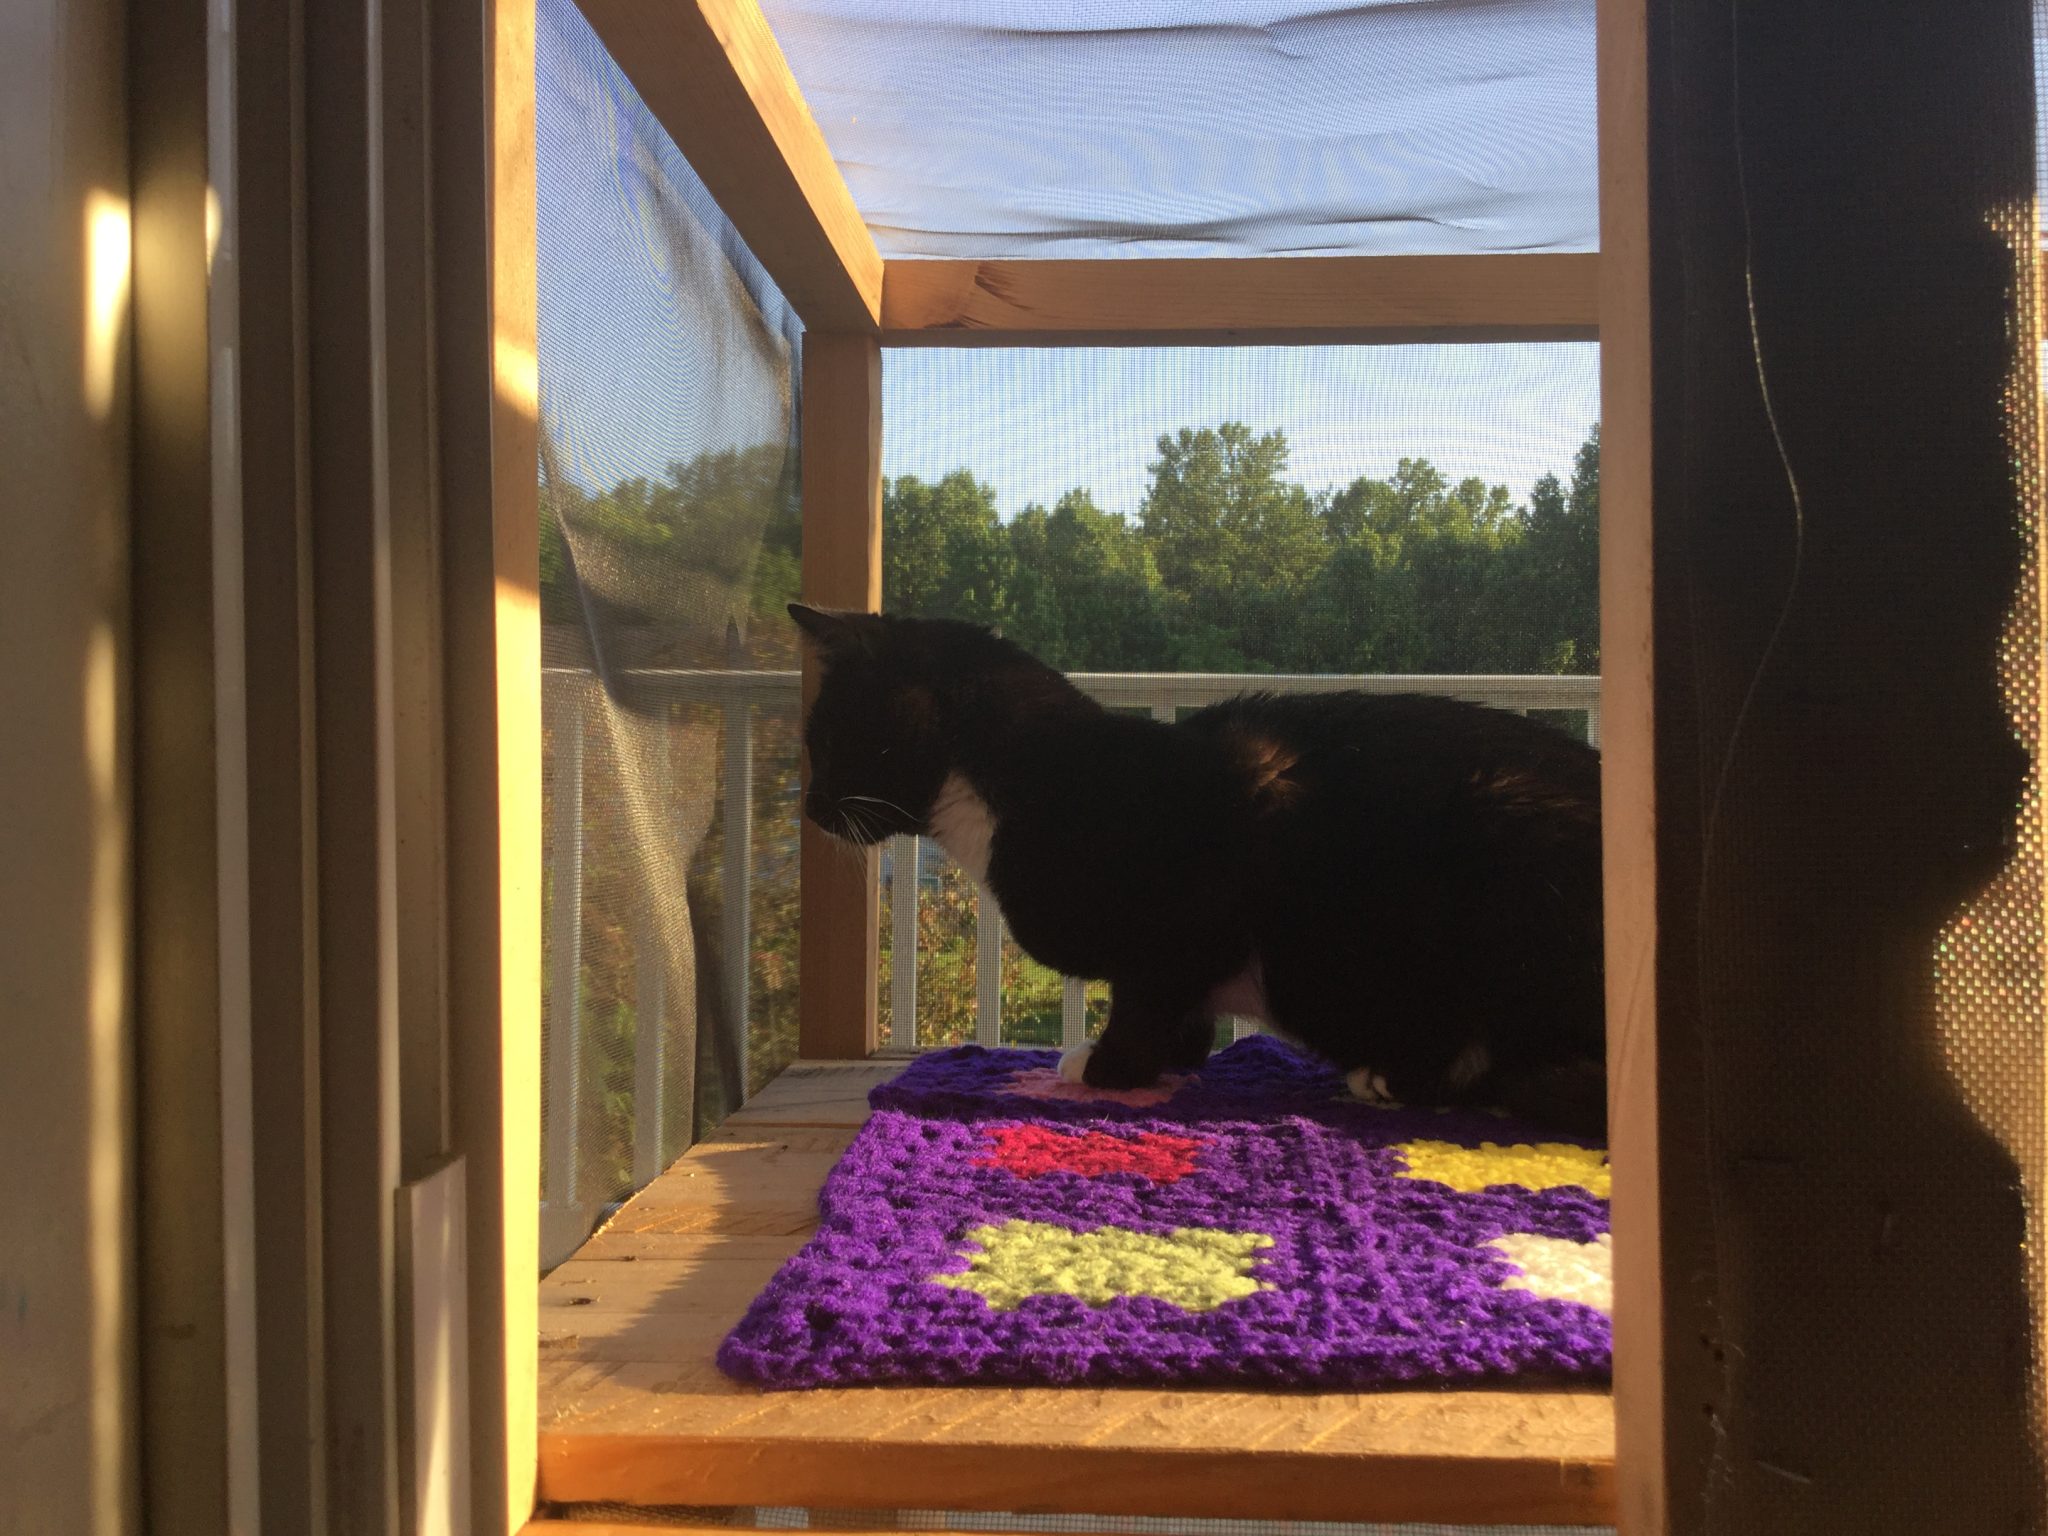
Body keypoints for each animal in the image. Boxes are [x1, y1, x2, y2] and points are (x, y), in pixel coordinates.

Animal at [790, 606, 1605, 1138]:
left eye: (825, 739)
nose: (808, 803)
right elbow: (1185, 1012)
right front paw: (1175, 1058)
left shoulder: (1193, 908)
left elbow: (1146, 995)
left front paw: (1109, 1066)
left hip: (1504, 847)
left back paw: (1395, 1075)